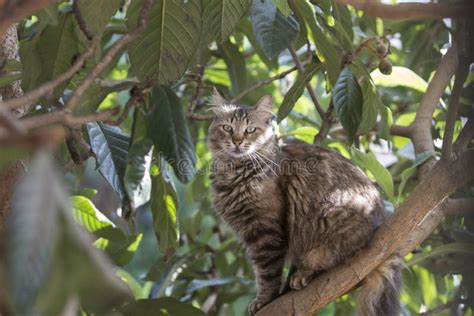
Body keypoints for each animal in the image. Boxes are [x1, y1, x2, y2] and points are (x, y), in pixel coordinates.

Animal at [209, 89, 402, 316]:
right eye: (227, 128)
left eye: (250, 130)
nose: (237, 141)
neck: (235, 173)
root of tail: (380, 223)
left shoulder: (266, 233)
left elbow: (266, 274)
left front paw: (263, 301)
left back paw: (304, 275)